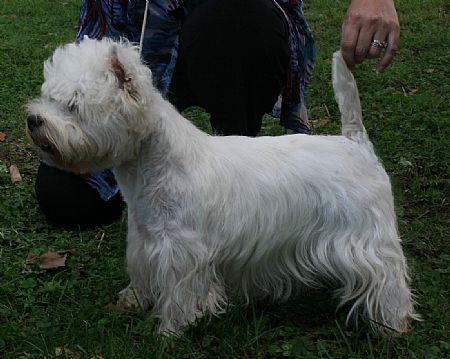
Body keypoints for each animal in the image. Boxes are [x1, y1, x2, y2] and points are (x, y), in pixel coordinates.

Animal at [26, 38, 416, 336]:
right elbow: (143, 279)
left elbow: (181, 298)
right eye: (48, 97)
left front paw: (170, 331)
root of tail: (356, 143)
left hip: (368, 240)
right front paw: (134, 300)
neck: (152, 169)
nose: (33, 119)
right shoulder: (145, 242)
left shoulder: (183, 255)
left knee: (388, 280)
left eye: (74, 105)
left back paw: (392, 326)